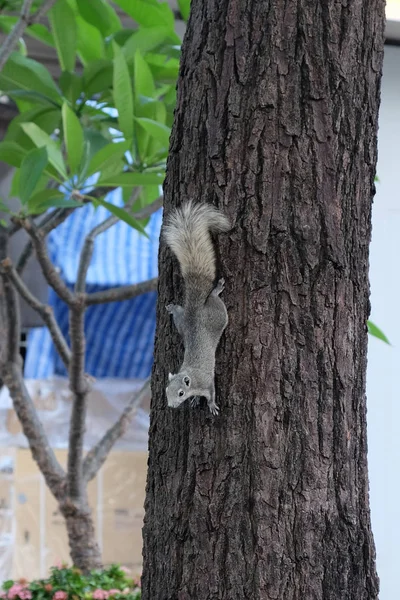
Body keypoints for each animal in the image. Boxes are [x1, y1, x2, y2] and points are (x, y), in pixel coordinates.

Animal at [163, 199, 231, 414]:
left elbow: (212, 393)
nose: (171, 405)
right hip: (182, 326)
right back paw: (174, 309)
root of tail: (194, 312)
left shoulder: (207, 382)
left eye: (180, 393)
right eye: (166, 391)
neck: (191, 378)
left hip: (218, 315)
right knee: (180, 315)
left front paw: (211, 405)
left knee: (215, 300)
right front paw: (195, 400)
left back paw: (216, 290)